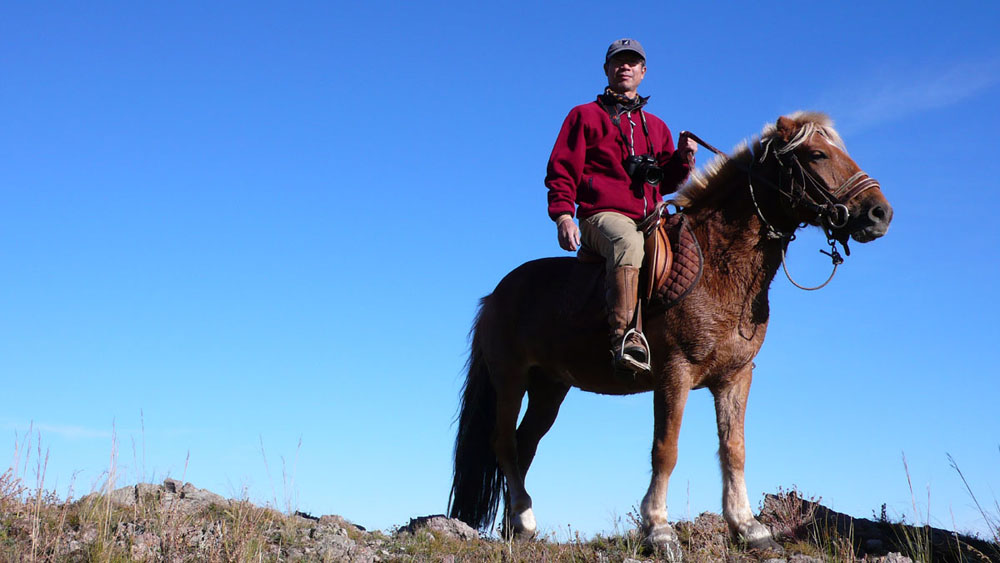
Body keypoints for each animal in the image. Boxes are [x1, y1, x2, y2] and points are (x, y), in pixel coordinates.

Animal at [448, 112, 893, 555]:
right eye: (817, 154)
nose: (880, 214)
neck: (718, 263)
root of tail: (495, 295)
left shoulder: (735, 377)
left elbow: (734, 449)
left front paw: (748, 526)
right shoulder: (674, 373)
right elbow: (666, 449)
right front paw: (658, 528)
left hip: (549, 387)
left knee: (525, 444)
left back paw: (517, 523)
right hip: (510, 379)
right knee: (504, 443)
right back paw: (523, 519)